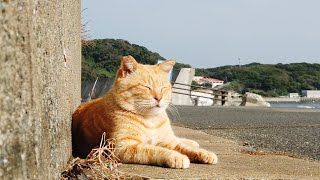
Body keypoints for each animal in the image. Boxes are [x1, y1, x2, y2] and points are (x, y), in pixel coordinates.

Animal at [72, 55, 218, 168]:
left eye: (163, 88)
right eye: (146, 87)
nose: (159, 98)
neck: (150, 119)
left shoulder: (167, 142)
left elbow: (184, 147)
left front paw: (205, 153)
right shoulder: (123, 147)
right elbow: (154, 150)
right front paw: (176, 156)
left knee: (178, 139)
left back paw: (192, 142)